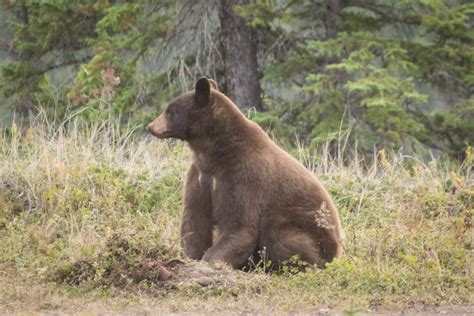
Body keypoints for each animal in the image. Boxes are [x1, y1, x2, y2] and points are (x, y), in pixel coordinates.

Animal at [147, 77, 340, 270]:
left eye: (170, 111)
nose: (150, 126)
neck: (215, 151)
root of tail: (337, 253)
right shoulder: (201, 175)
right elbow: (195, 218)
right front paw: (190, 255)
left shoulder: (244, 176)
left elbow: (240, 225)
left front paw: (211, 260)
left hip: (306, 229)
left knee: (280, 235)